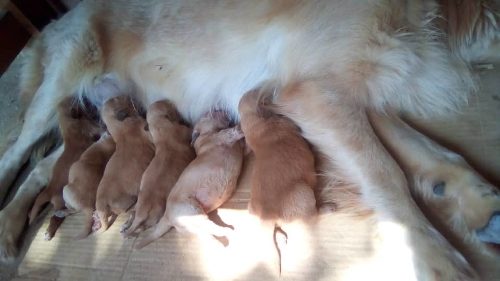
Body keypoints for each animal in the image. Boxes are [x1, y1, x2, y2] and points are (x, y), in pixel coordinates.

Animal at [28, 97, 102, 238]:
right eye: (79, 103)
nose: (86, 97)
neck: (69, 130)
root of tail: (49, 191)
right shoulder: (92, 130)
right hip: (61, 201)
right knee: (59, 215)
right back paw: (50, 230)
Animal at [95, 95, 154, 231]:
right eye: (119, 98)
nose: (129, 96)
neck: (120, 128)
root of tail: (101, 202)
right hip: (127, 200)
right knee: (130, 210)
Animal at [122, 99, 196, 235]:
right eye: (173, 109)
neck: (160, 126)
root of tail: (142, 212)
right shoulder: (183, 130)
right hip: (155, 215)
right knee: (143, 226)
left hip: (138, 206)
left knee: (133, 214)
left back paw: (126, 225)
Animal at [136, 110, 245, 248]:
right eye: (206, 115)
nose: (218, 109)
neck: (206, 133)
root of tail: (166, 216)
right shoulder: (220, 137)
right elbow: (231, 132)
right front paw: (241, 125)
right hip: (192, 212)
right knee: (214, 230)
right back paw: (231, 233)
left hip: (193, 225)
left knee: (209, 236)